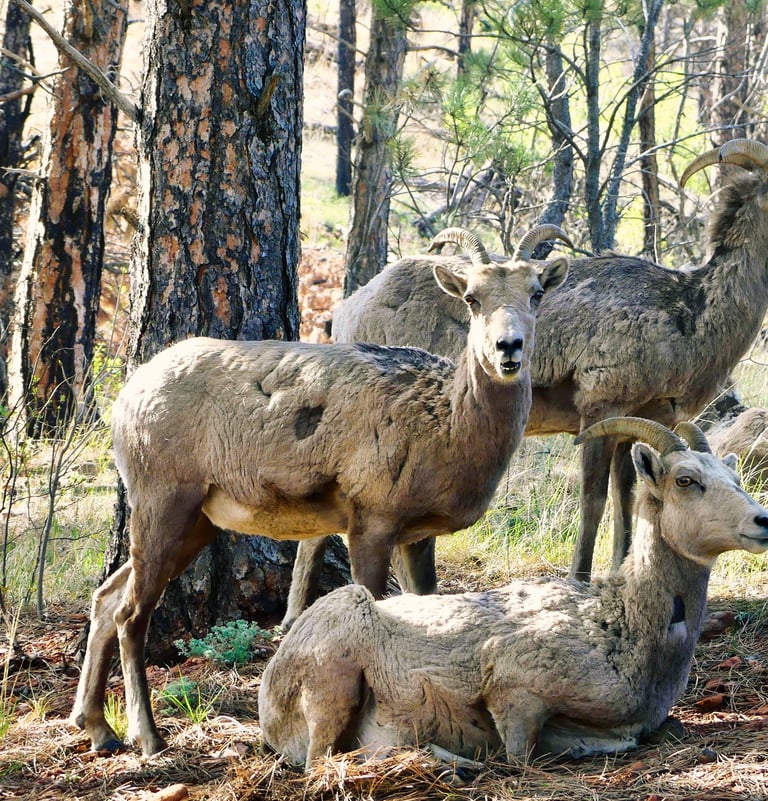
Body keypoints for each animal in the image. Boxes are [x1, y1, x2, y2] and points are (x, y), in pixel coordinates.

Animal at [68, 227, 569, 757]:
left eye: (537, 292)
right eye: (472, 298)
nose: (508, 347)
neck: (448, 428)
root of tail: (125, 399)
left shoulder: (418, 534)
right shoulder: (371, 517)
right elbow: (373, 610)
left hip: (196, 520)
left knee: (106, 597)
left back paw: (96, 726)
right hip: (163, 497)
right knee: (130, 613)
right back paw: (147, 737)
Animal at [258, 417, 768, 771]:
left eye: (736, 479)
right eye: (686, 480)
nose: (762, 521)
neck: (619, 625)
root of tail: (269, 688)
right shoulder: (515, 696)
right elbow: (527, 755)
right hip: (335, 678)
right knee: (323, 760)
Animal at [330, 137, 768, 582]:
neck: (688, 313)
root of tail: (353, 305)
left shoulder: (635, 426)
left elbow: (626, 501)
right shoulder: (599, 412)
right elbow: (593, 503)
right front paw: (579, 578)